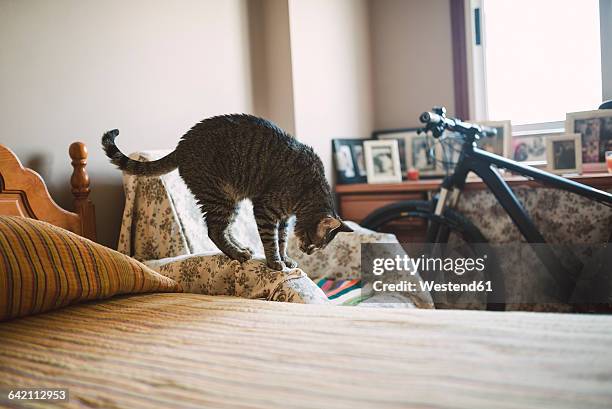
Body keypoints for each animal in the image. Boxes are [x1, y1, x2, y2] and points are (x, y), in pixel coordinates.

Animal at [103, 113, 352, 270]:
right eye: (314, 243)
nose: (309, 252)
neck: (307, 191)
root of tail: (181, 145)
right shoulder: (266, 210)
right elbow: (271, 240)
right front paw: (275, 262)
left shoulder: (283, 219)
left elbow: (281, 240)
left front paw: (285, 258)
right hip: (219, 196)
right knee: (214, 230)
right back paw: (237, 254)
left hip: (231, 200)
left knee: (223, 229)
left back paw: (240, 249)